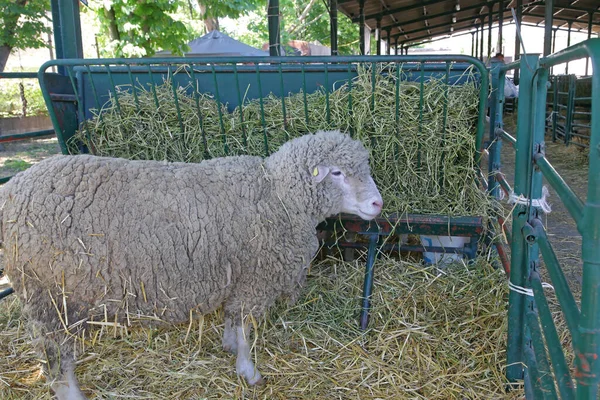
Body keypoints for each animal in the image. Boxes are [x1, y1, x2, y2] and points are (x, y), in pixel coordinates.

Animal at [0, 130, 382, 398]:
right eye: (337, 172)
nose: (378, 204)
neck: (279, 197)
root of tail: (12, 190)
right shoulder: (255, 279)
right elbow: (245, 329)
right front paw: (248, 371)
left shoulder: (237, 275)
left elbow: (232, 320)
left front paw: (229, 346)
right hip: (51, 297)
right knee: (56, 357)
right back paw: (72, 393)